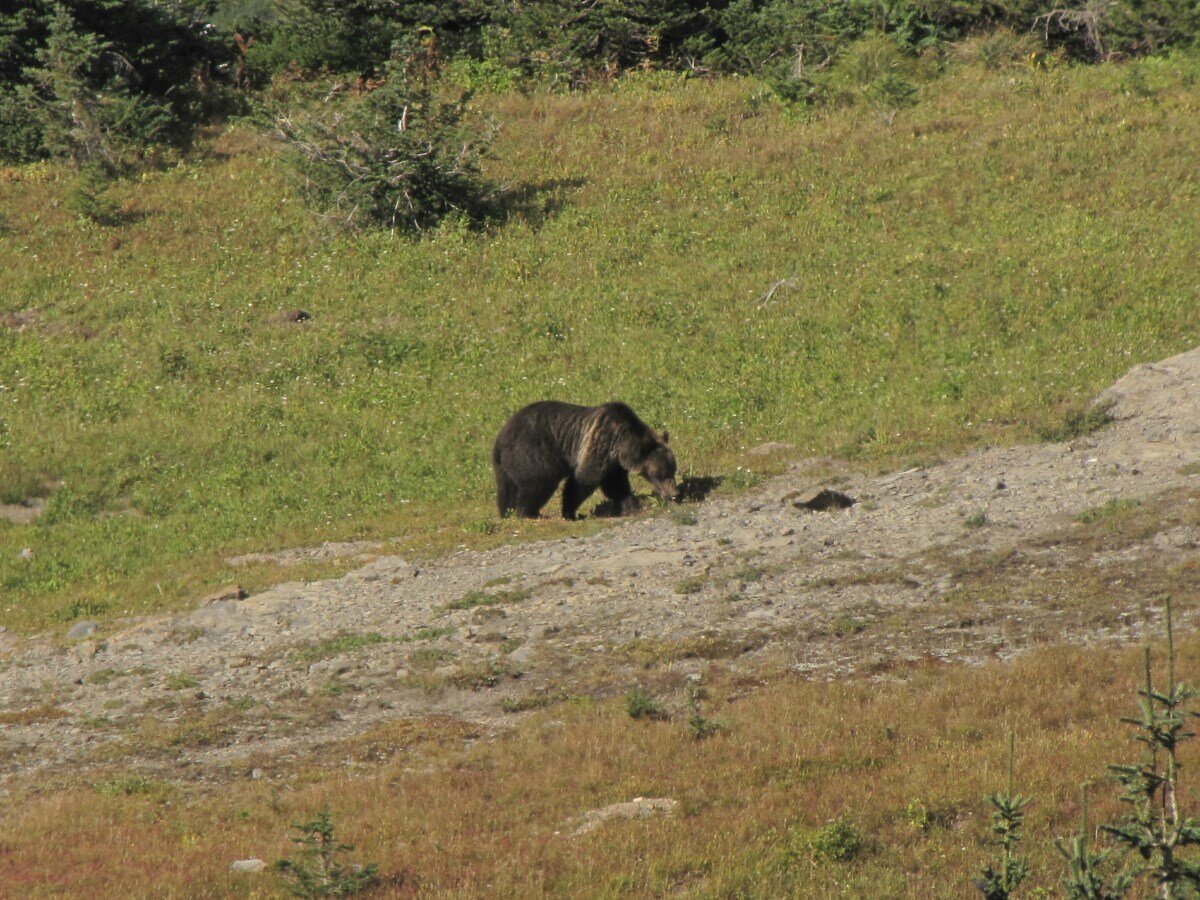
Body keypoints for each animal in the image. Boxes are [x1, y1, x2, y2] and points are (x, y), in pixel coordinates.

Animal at [492, 403, 681, 520]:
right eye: (663, 474)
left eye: (673, 470)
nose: (674, 493)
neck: (622, 445)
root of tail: (500, 440)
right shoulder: (600, 444)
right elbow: (583, 480)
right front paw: (570, 512)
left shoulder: (613, 464)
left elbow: (616, 485)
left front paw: (631, 504)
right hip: (534, 452)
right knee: (538, 483)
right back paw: (530, 513)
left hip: (504, 468)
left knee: (506, 490)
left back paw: (507, 513)